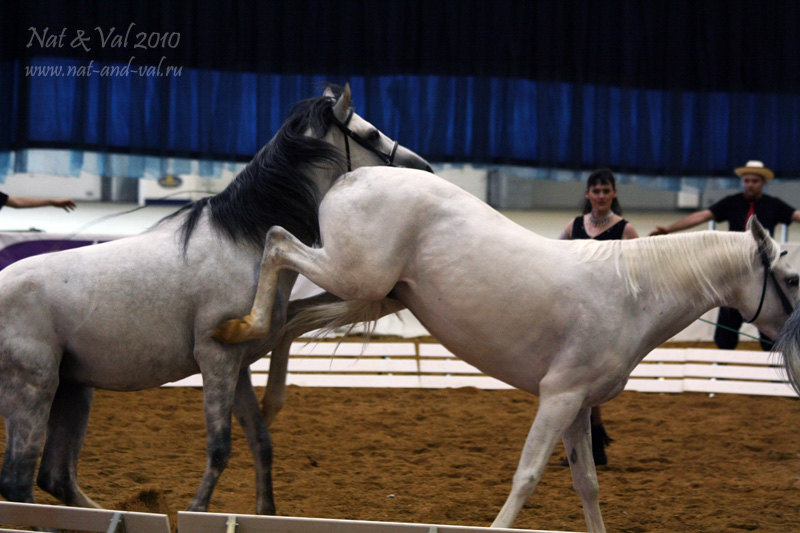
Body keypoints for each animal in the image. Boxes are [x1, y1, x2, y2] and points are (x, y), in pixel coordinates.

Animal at [0, 85, 432, 512]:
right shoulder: (216, 359)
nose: (424, 168)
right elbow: (220, 446)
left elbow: (261, 441)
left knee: (54, 477)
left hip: (73, 391)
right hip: (33, 391)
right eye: (372, 133)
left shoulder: (237, 367)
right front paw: (195, 511)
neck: (242, 242)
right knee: (19, 483)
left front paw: (265, 511)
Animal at [216, 167, 796, 532]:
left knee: (290, 320)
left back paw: (262, 385)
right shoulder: (558, 397)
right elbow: (527, 475)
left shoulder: (579, 406)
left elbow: (587, 483)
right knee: (276, 244)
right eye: (790, 277)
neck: (632, 293)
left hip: (368, 293)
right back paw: (241, 329)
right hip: (352, 274)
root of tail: (352, 178)